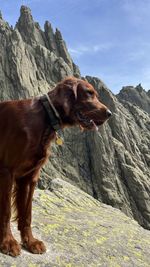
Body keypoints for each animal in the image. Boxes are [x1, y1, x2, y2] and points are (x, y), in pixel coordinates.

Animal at [0, 76, 110, 256]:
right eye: (89, 93)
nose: (109, 114)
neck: (44, 118)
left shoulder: (29, 176)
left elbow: (27, 214)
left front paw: (30, 241)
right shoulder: (6, 171)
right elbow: (6, 212)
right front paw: (8, 242)